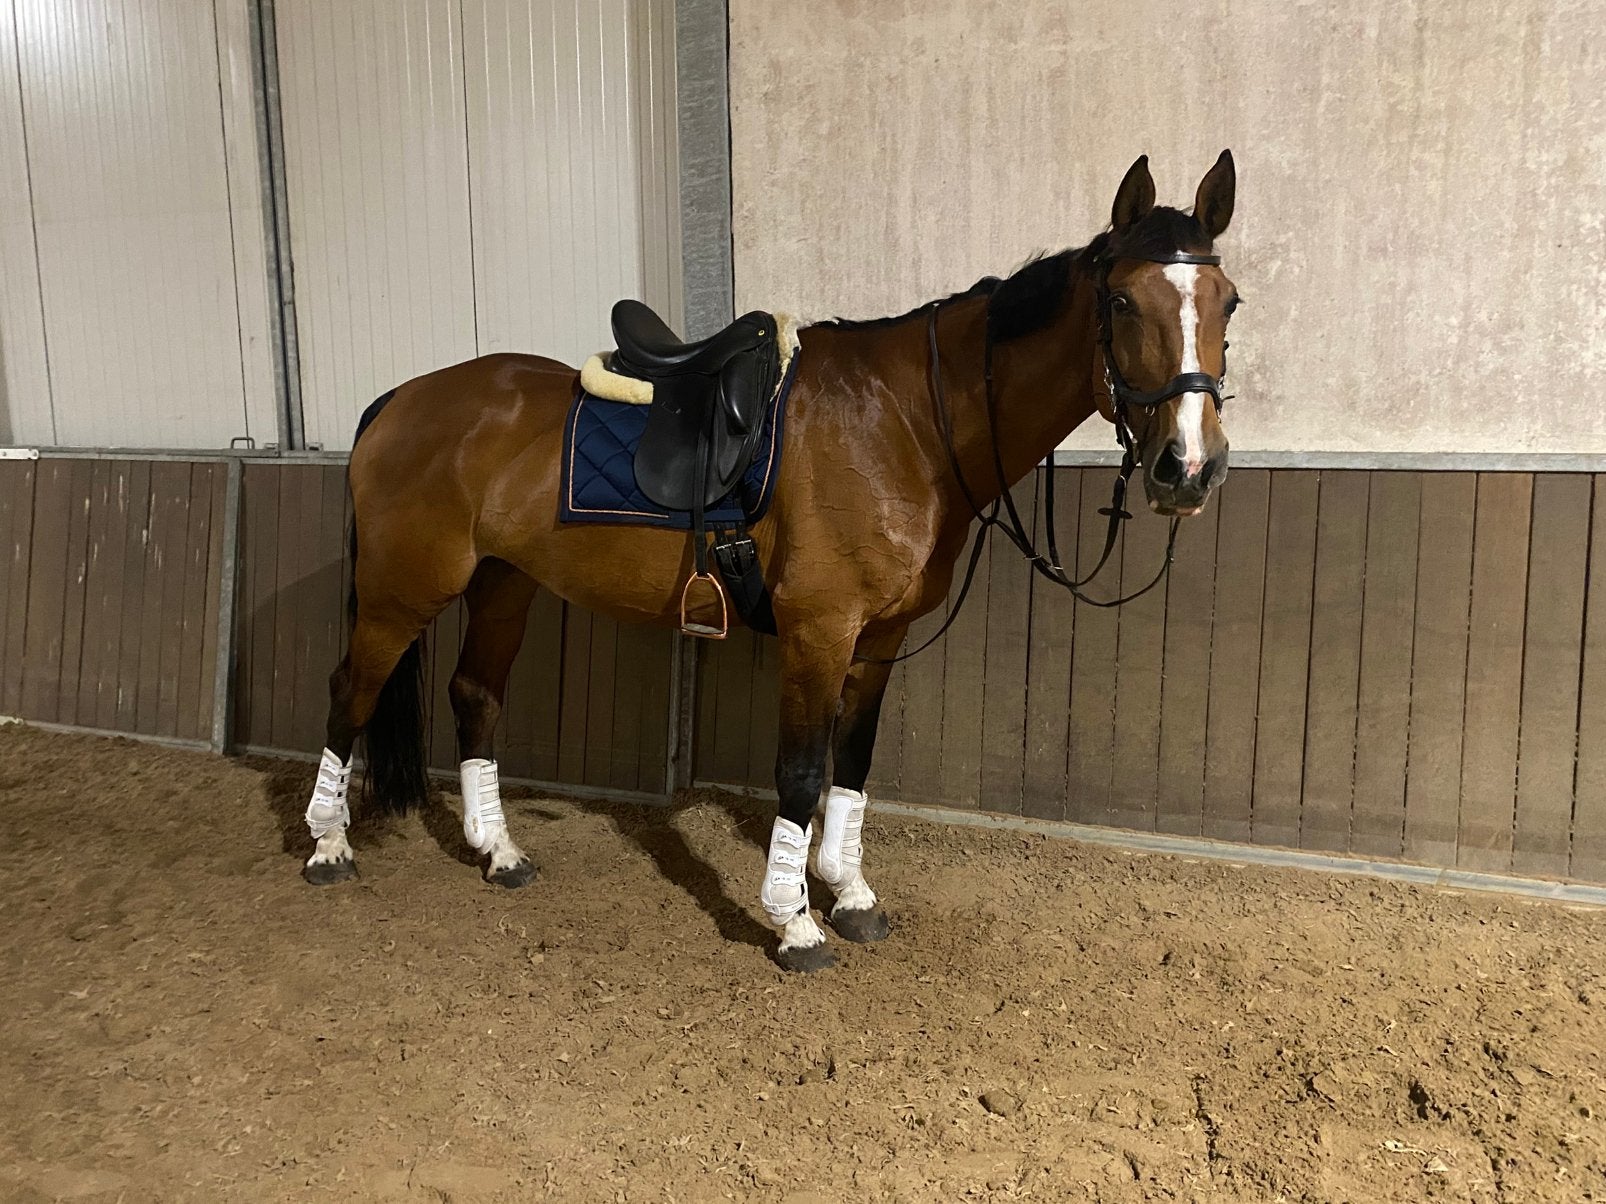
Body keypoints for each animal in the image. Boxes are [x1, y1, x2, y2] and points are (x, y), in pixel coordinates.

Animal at [298, 152, 1240, 973]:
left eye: (1228, 302)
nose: (1189, 467)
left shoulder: (880, 637)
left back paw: (499, 852)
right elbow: (800, 772)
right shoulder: (819, 630)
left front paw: (849, 894)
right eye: (1121, 301)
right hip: (403, 589)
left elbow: (850, 766)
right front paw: (795, 923)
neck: (904, 422)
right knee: (350, 690)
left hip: (503, 584)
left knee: (474, 695)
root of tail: (402, 398)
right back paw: (328, 845)